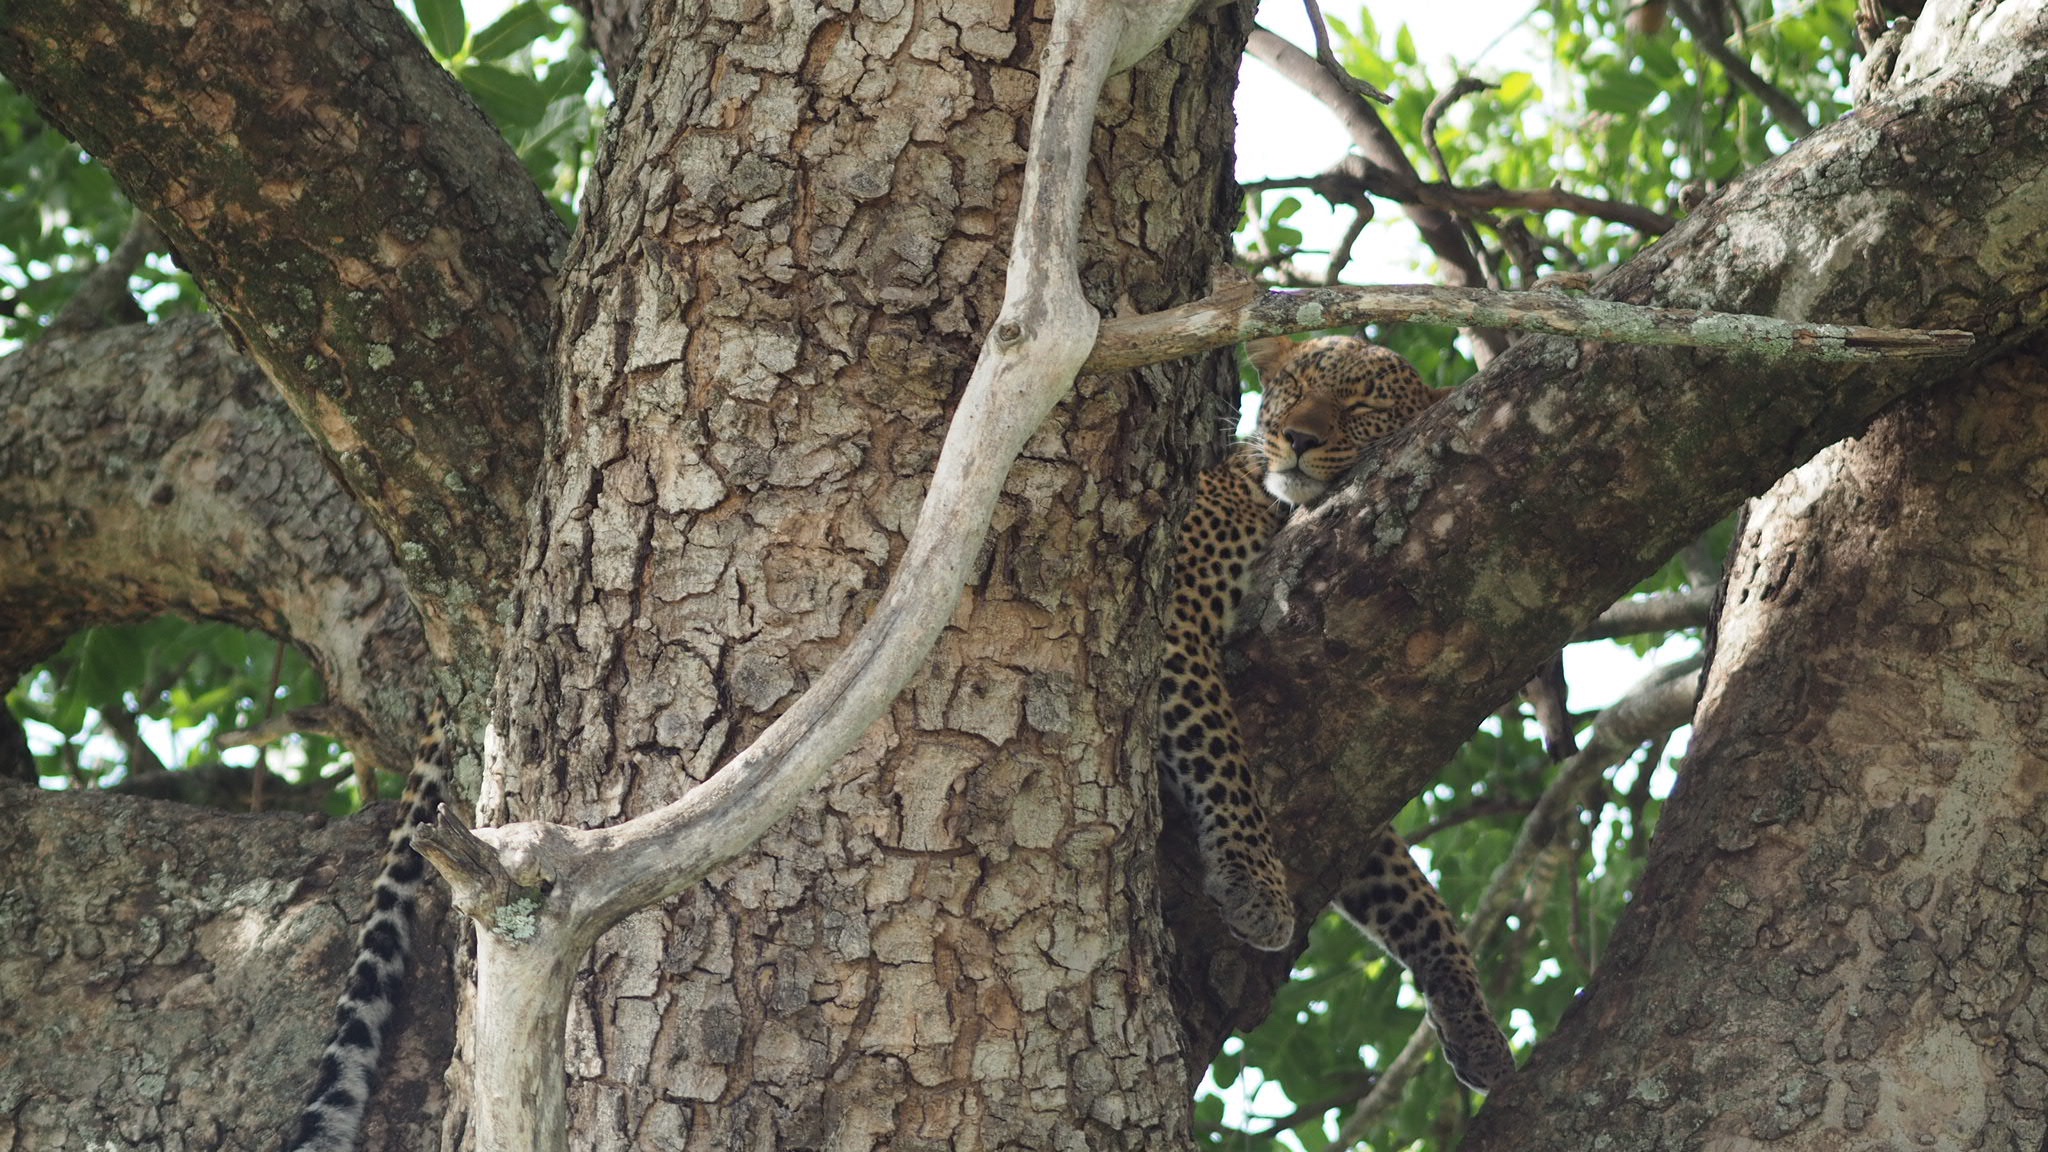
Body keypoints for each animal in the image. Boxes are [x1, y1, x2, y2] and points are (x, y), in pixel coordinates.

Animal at [1155, 330, 1523, 1082]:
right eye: (1297, 390)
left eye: (1361, 408)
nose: (1299, 437)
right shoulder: (1177, 611)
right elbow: (1221, 752)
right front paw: (1255, 883)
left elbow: (1417, 898)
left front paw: (1474, 1024)